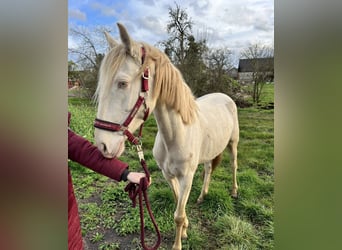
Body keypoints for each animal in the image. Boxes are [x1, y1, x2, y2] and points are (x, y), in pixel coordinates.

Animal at [93, 23, 238, 248]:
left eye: (122, 83)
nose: (102, 145)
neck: (175, 136)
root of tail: (225, 97)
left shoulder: (187, 177)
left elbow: (178, 214)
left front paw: (178, 242)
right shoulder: (168, 175)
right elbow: (179, 205)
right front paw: (185, 229)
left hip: (233, 144)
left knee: (233, 165)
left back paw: (234, 191)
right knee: (208, 170)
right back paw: (202, 196)